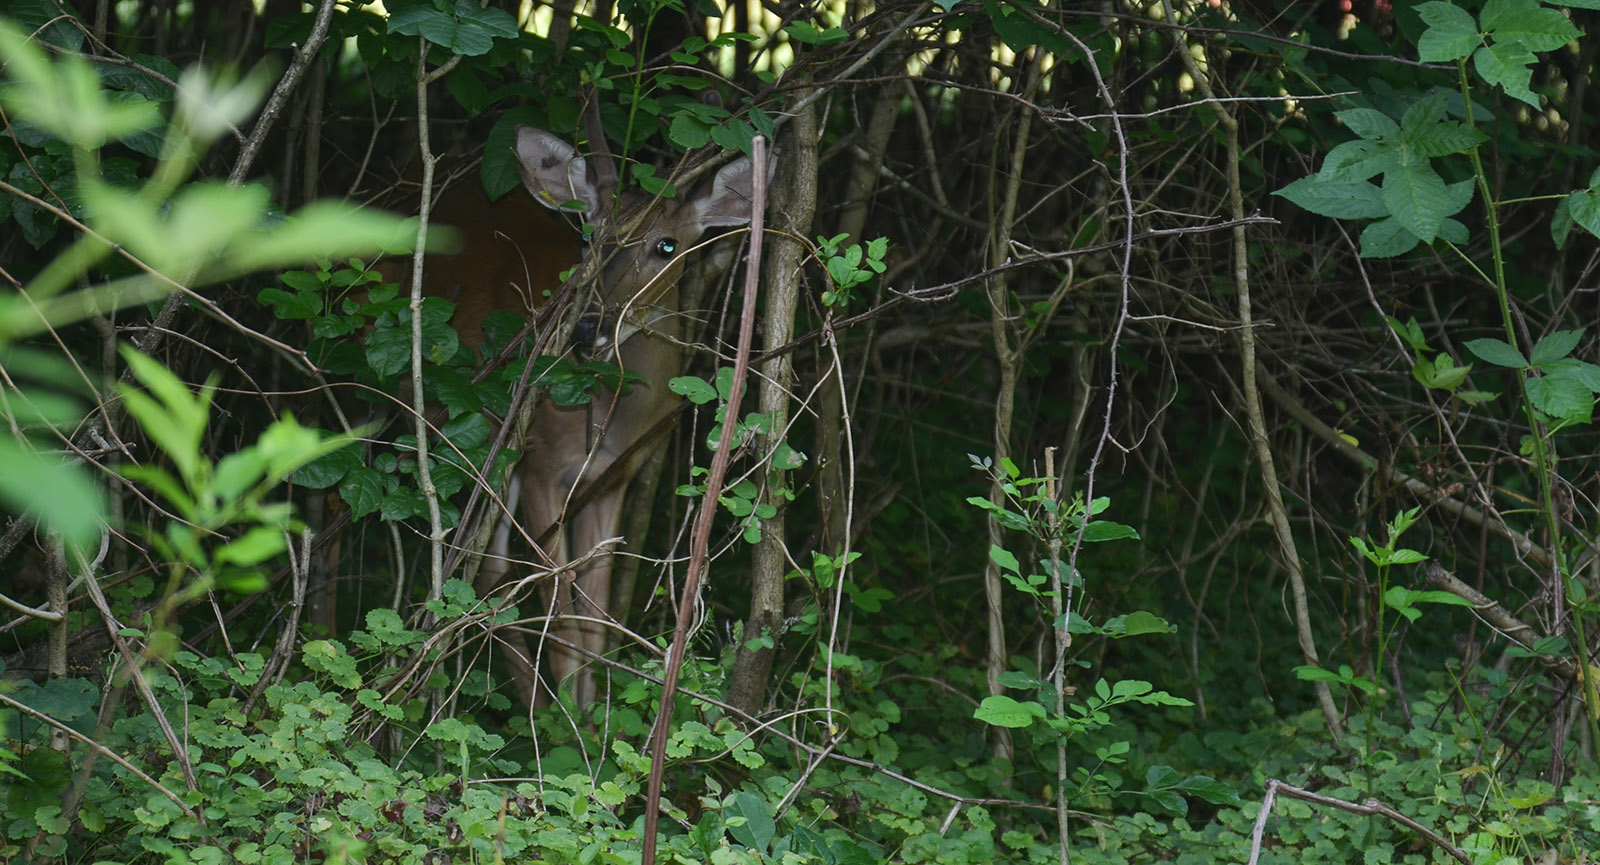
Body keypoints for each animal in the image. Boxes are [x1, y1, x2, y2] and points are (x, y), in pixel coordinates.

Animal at [384, 118, 763, 708]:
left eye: (667, 244)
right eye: (589, 237)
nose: (588, 328)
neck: (610, 416)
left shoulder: (613, 477)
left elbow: (596, 611)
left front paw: (594, 708)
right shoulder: (542, 464)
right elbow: (559, 607)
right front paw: (569, 718)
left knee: (491, 567)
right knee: (486, 563)